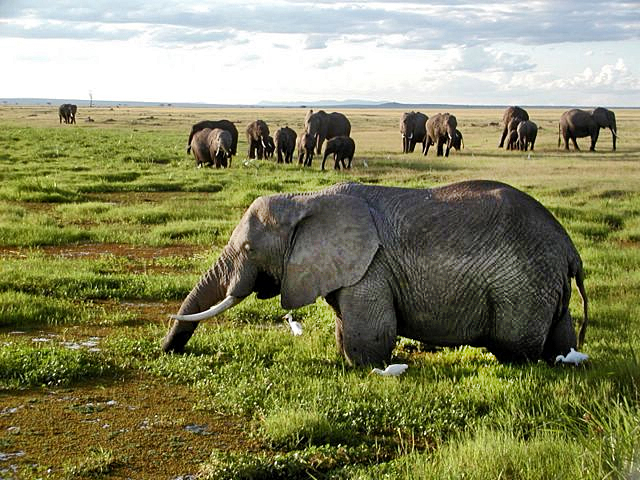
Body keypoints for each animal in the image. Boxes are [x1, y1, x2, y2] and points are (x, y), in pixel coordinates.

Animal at [162, 178, 588, 366]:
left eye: (249, 249)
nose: (167, 350)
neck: (306, 199)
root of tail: (571, 250)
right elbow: (344, 325)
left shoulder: (372, 267)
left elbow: (372, 332)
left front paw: (366, 370)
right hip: (545, 281)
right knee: (560, 333)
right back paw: (562, 359)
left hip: (524, 283)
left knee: (515, 346)